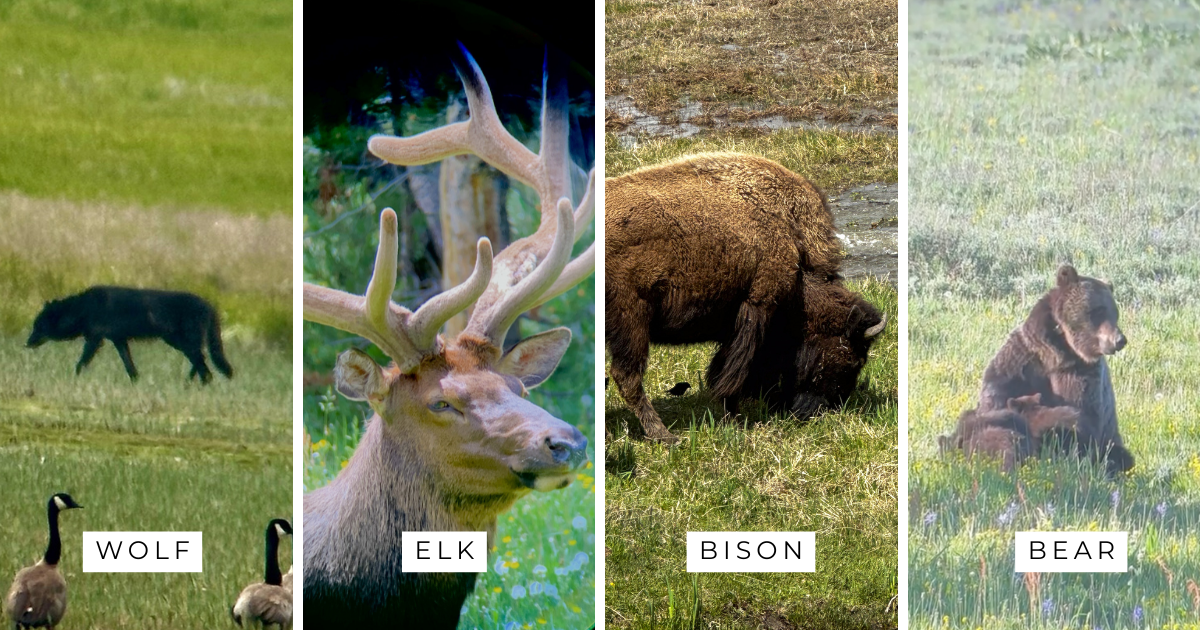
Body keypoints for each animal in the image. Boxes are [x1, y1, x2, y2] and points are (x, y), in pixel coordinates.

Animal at [27, 286, 233, 383]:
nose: (26, 344)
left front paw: (74, 378)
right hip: (179, 343)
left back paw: (198, 383)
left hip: (182, 343)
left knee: (203, 365)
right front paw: (136, 382)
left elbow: (81, 363)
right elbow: (130, 367)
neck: (84, 307)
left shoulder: (95, 339)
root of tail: (210, 306)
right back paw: (189, 383)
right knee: (201, 362)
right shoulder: (119, 340)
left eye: (38, 326)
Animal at [977, 265, 1127, 450]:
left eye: (1115, 312)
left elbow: (1083, 412)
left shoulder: (1080, 372)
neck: (1056, 353)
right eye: (1098, 310)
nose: (1119, 340)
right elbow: (997, 390)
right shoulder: (1023, 357)